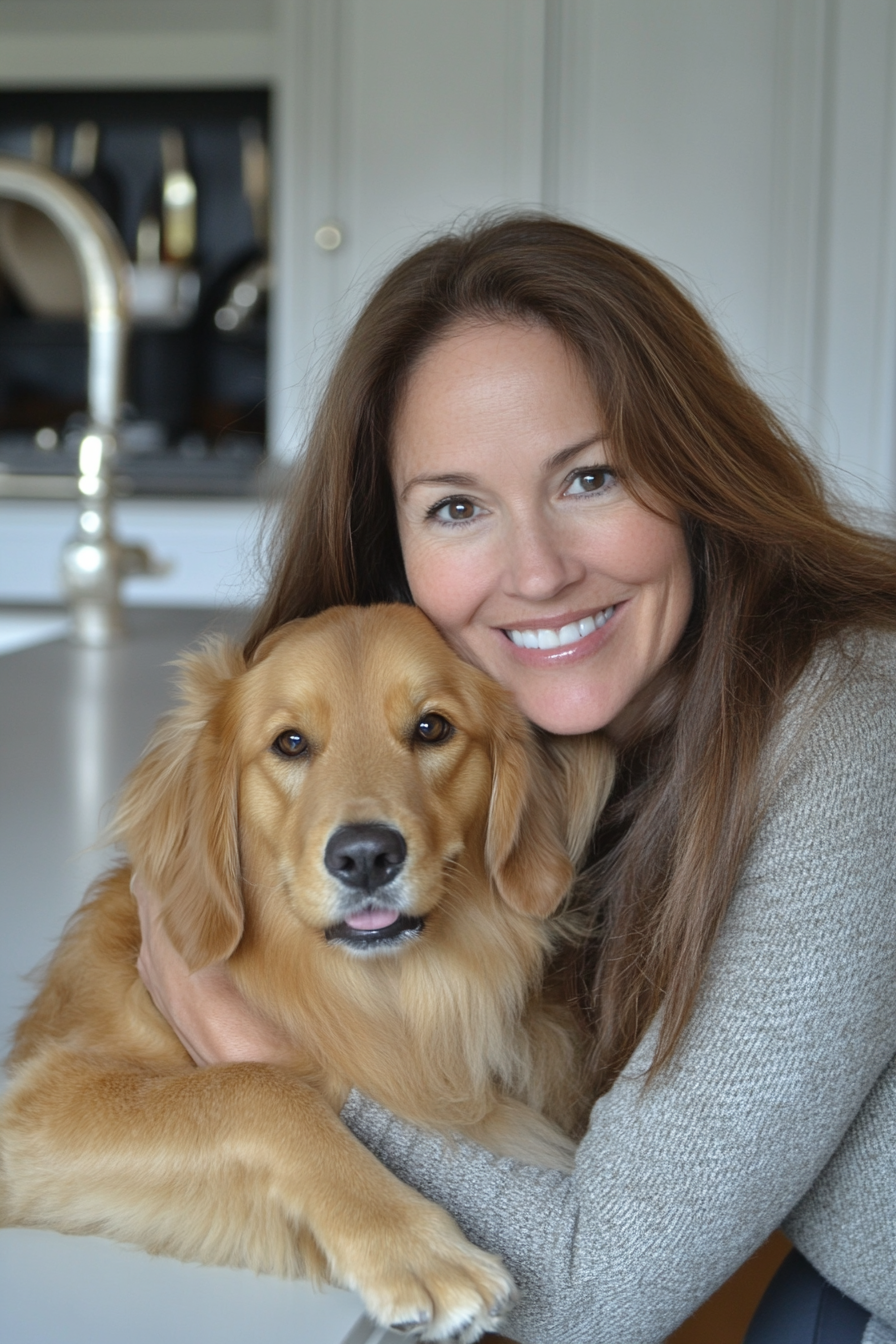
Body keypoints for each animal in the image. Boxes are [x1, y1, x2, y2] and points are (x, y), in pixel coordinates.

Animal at [0, 604, 612, 1338]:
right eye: (290, 743)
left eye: (431, 728)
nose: (366, 855)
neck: (380, 998)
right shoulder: (43, 1097)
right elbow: (259, 1089)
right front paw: (415, 1248)